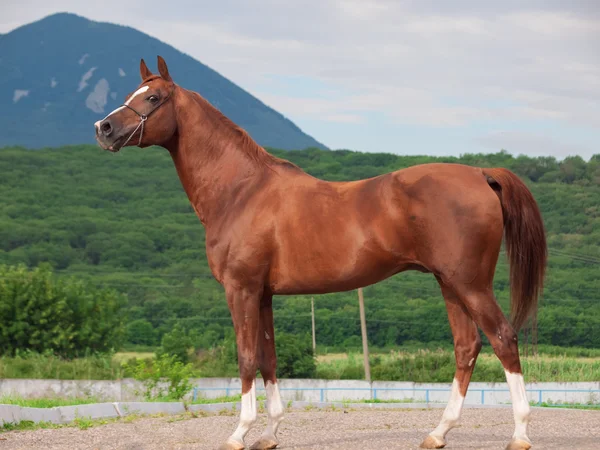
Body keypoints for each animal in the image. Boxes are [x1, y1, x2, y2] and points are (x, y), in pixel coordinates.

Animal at [95, 56, 548, 450]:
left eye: (153, 98)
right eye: (132, 92)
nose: (104, 128)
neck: (241, 190)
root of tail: (481, 174)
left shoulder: (241, 289)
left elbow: (245, 358)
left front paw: (238, 433)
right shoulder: (263, 295)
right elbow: (269, 359)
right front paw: (269, 434)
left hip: (470, 284)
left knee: (503, 338)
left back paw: (520, 434)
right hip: (449, 284)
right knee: (466, 347)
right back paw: (438, 433)